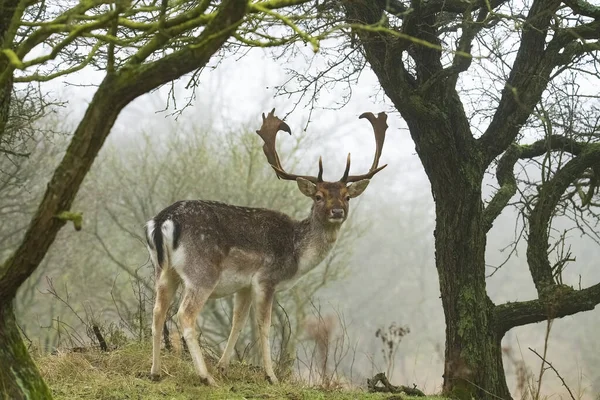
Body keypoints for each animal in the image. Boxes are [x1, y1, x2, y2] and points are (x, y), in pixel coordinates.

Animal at [146, 108, 390, 384]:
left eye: (347, 197)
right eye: (319, 196)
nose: (337, 212)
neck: (297, 254)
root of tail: (163, 220)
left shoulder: (243, 285)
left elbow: (238, 322)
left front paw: (224, 366)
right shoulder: (266, 279)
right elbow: (264, 325)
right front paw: (270, 376)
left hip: (164, 270)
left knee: (157, 311)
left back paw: (155, 371)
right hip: (202, 272)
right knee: (184, 315)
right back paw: (206, 377)